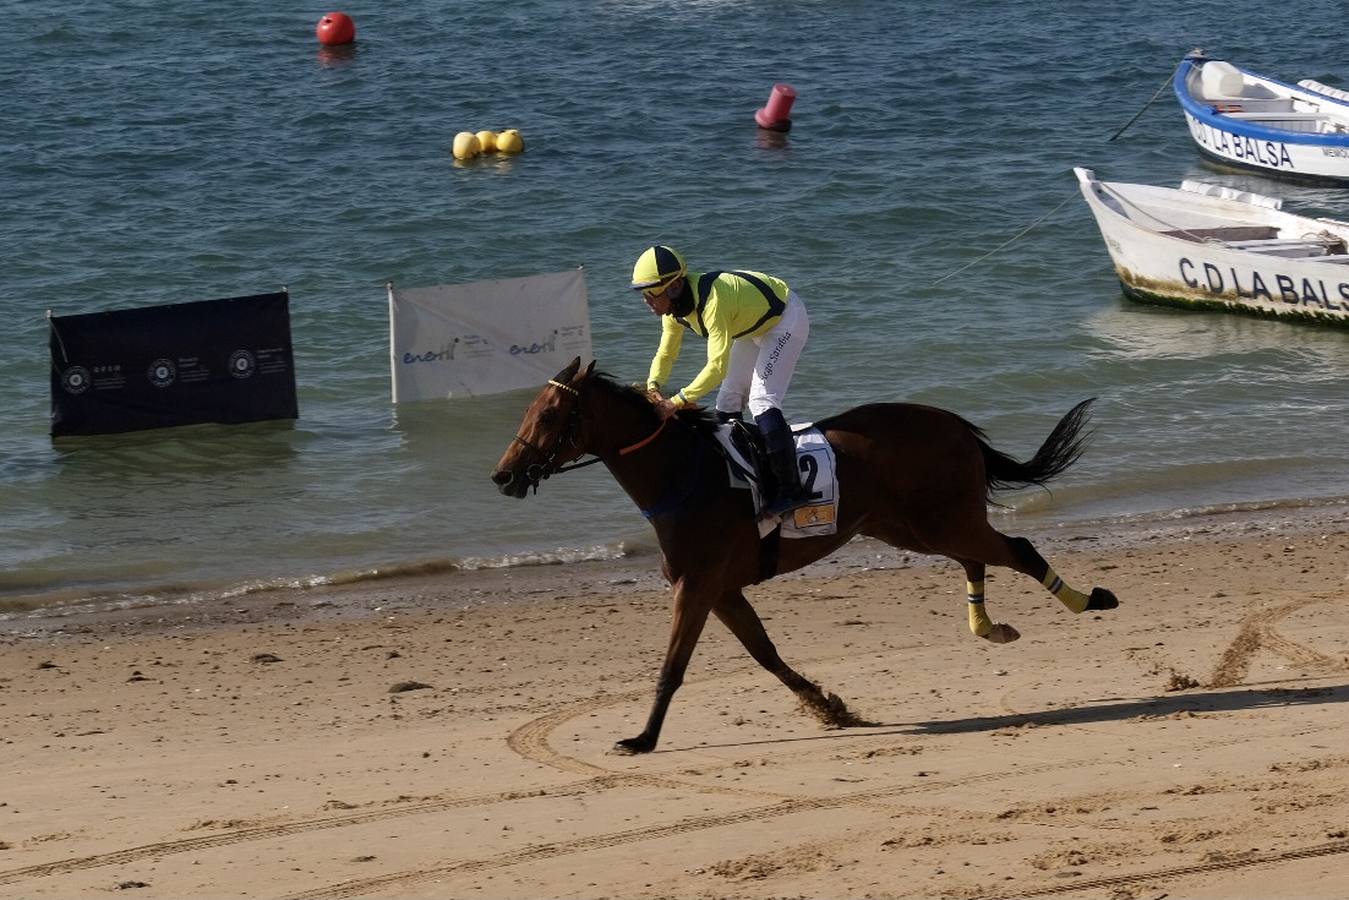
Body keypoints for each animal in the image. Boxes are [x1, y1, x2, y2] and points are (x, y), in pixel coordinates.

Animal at [488, 358, 1116, 755]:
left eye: (548, 416)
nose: (503, 476)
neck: (684, 473)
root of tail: (952, 422)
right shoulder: (722, 590)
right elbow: (765, 655)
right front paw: (829, 708)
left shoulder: (697, 584)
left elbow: (672, 667)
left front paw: (641, 740)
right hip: (913, 527)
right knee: (977, 559)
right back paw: (989, 625)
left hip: (941, 521)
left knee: (1017, 549)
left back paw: (1090, 599)